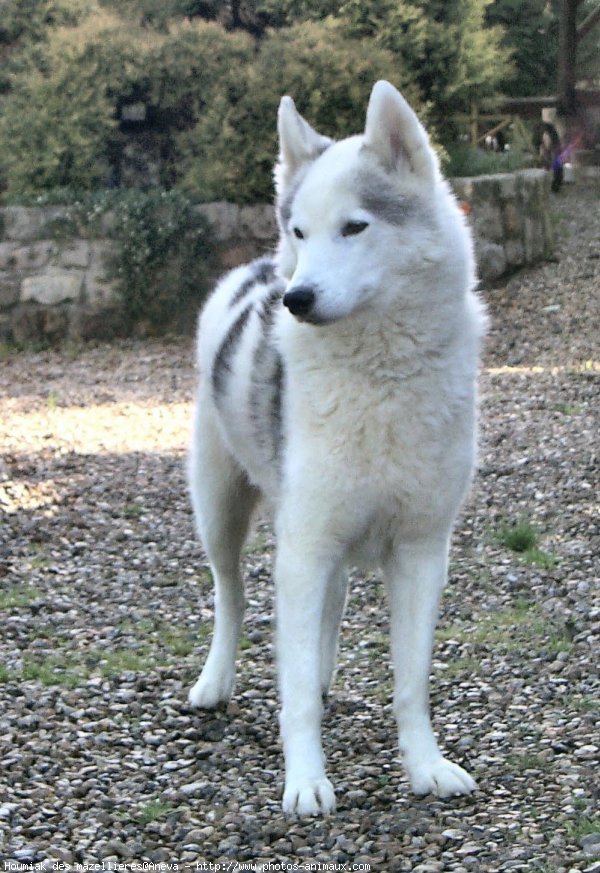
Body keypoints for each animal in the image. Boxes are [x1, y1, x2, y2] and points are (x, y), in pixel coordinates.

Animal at [189, 78, 488, 816]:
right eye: (302, 230)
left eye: (355, 227)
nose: (296, 298)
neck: (379, 375)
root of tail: (257, 267)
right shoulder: (304, 546)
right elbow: (292, 691)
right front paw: (306, 780)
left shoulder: (419, 552)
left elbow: (410, 683)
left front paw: (425, 766)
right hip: (221, 510)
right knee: (231, 596)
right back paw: (215, 681)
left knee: (329, 605)